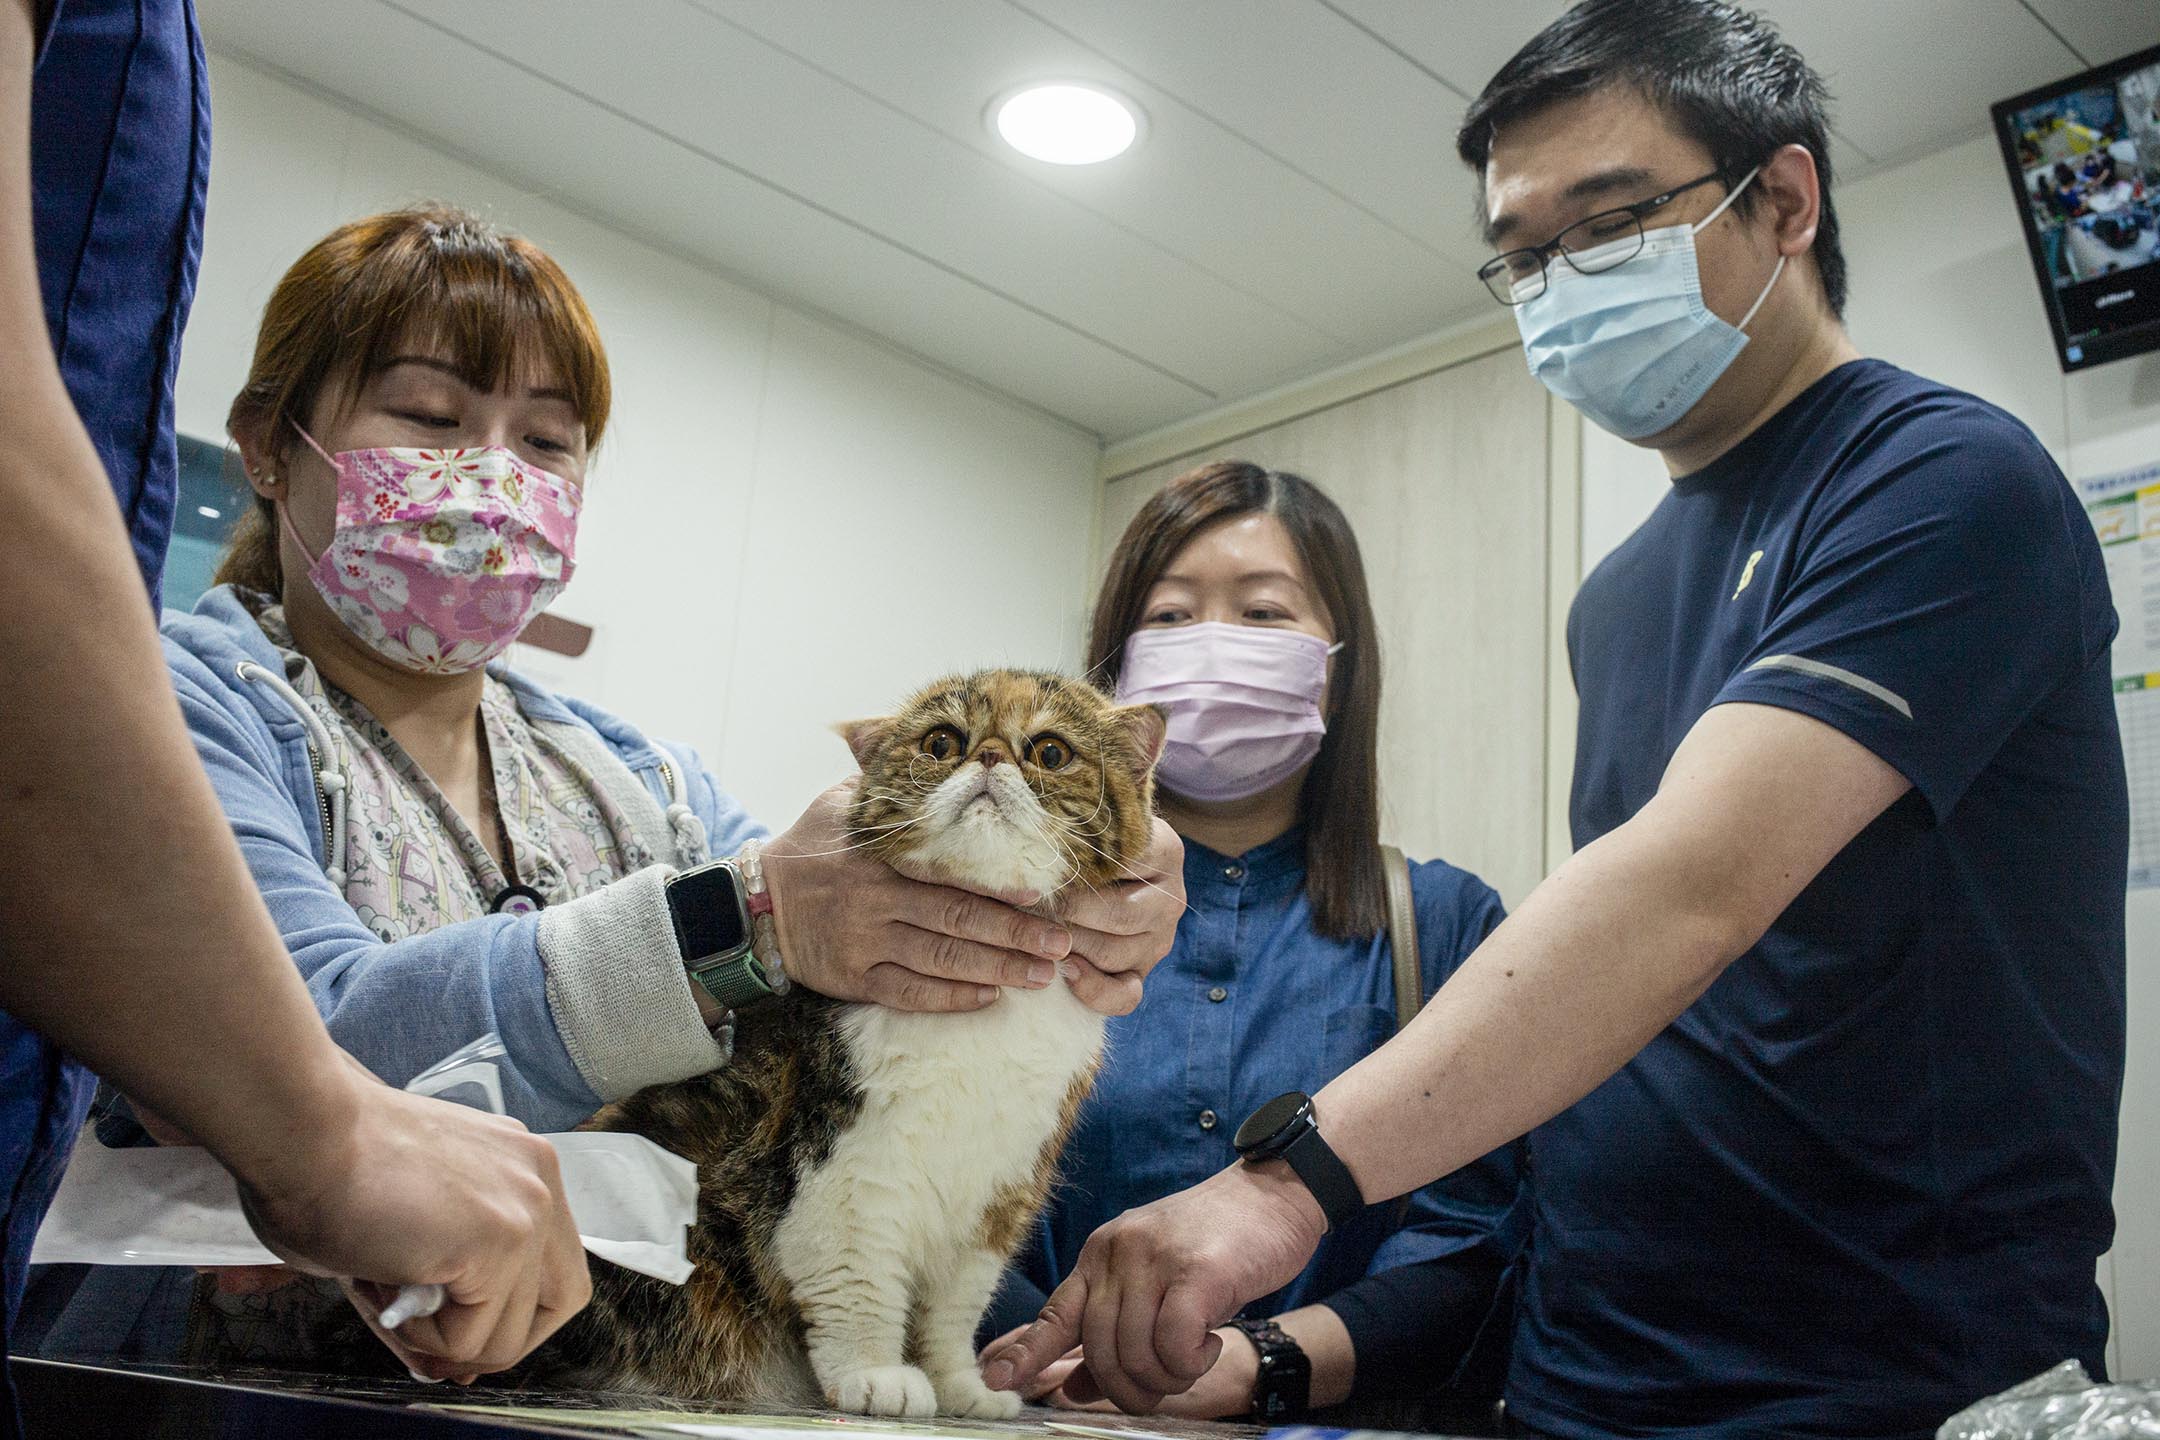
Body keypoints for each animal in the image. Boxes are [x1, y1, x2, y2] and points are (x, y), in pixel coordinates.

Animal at [548, 673, 1175, 1416]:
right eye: (943, 743)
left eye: (1050, 752)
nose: (990, 756)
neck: (988, 1024)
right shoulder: (847, 1161)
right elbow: (856, 1275)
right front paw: (874, 1374)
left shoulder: (999, 1191)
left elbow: (954, 1309)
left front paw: (960, 1386)